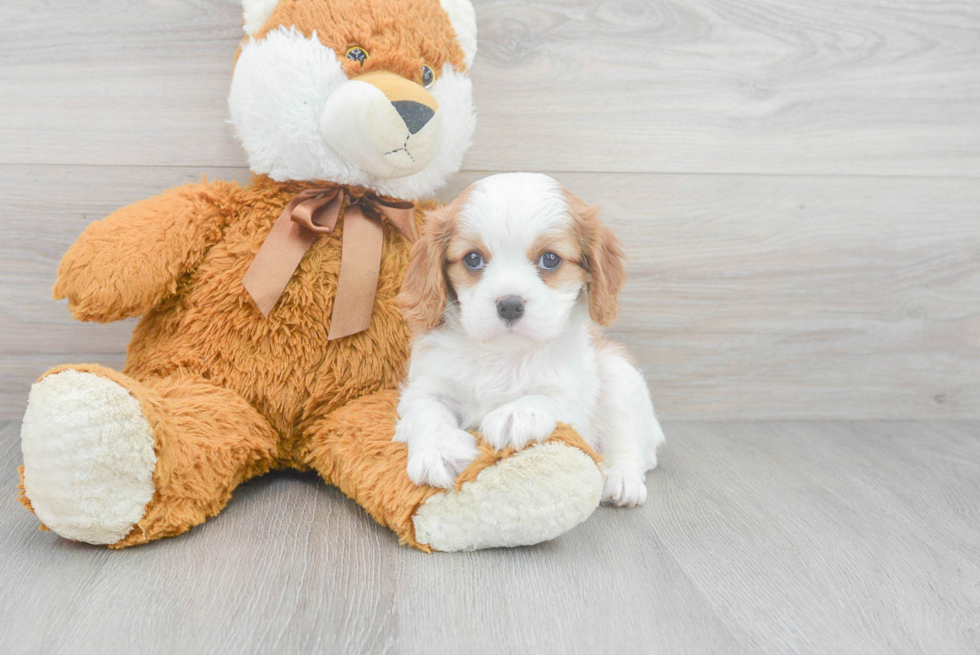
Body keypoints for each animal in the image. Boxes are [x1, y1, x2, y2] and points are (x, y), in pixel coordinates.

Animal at [392, 173, 668, 508]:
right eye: (473, 259)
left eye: (550, 259)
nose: (510, 305)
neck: (504, 354)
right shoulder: (427, 385)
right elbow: (428, 410)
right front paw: (439, 449)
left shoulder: (572, 393)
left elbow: (548, 398)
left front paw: (516, 414)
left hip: (619, 374)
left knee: (630, 445)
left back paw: (623, 480)